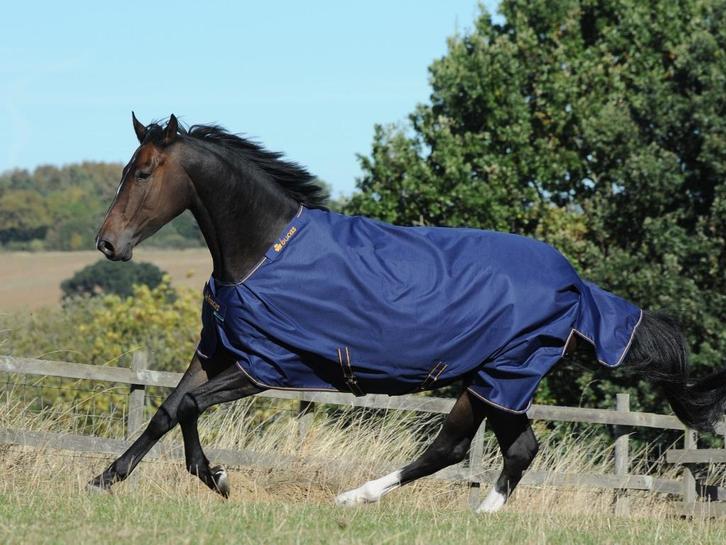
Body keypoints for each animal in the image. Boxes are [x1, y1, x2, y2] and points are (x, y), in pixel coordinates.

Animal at [89, 113, 726, 512]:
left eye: (142, 172)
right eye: (124, 170)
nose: (107, 244)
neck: (265, 249)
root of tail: (576, 287)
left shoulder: (264, 366)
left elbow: (189, 407)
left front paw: (217, 478)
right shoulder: (217, 349)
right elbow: (165, 411)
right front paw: (104, 480)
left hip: (502, 377)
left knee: (472, 449)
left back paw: (368, 500)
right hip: (493, 381)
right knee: (492, 450)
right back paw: (451, 513)